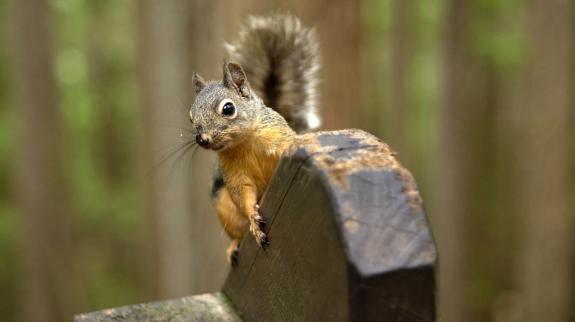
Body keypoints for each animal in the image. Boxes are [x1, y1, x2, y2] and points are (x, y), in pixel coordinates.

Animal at [191, 15, 322, 264]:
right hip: (223, 207)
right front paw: (253, 217)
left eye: (228, 108)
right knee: (236, 233)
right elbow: (244, 194)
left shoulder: (278, 139)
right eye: (191, 117)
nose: (202, 139)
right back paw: (234, 246)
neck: (244, 143)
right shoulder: (234, 173)